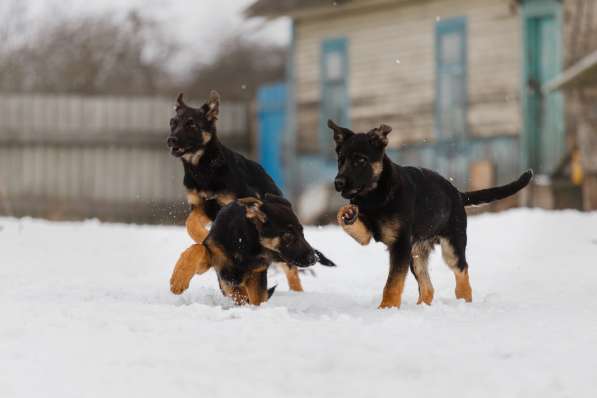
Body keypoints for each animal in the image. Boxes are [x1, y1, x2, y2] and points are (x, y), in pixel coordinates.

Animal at [330, 119, 532, 310]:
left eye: (360, 160)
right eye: (340, 160)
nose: (338, 183)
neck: (375, 194)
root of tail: (458, 193)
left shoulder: (400, 245)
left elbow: (393, 283)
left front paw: (386, 308)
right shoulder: (369, 235)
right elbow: (347, 218)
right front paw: (347, 213)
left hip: (450, 247)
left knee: (462, 270)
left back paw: (463, 300)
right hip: (416, 254)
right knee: (428, 288)